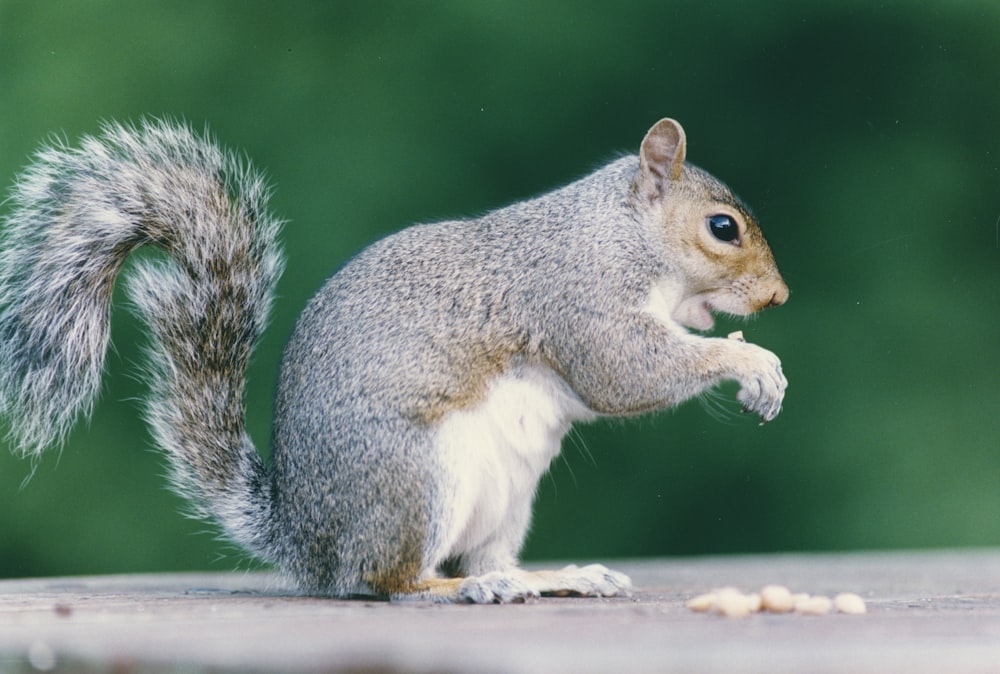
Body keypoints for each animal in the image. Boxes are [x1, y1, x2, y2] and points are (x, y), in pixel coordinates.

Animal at [0, 115, 788, 600]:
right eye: (722, 228)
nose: (778, 296)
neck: (618, 234)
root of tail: (306, 541)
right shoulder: (578, 298)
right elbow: (625, 372)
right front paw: (751, 364)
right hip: (413, 477)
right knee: (390, 580)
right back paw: (466, 586)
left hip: (506, 497)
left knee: (479, 555)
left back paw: (545, 577)